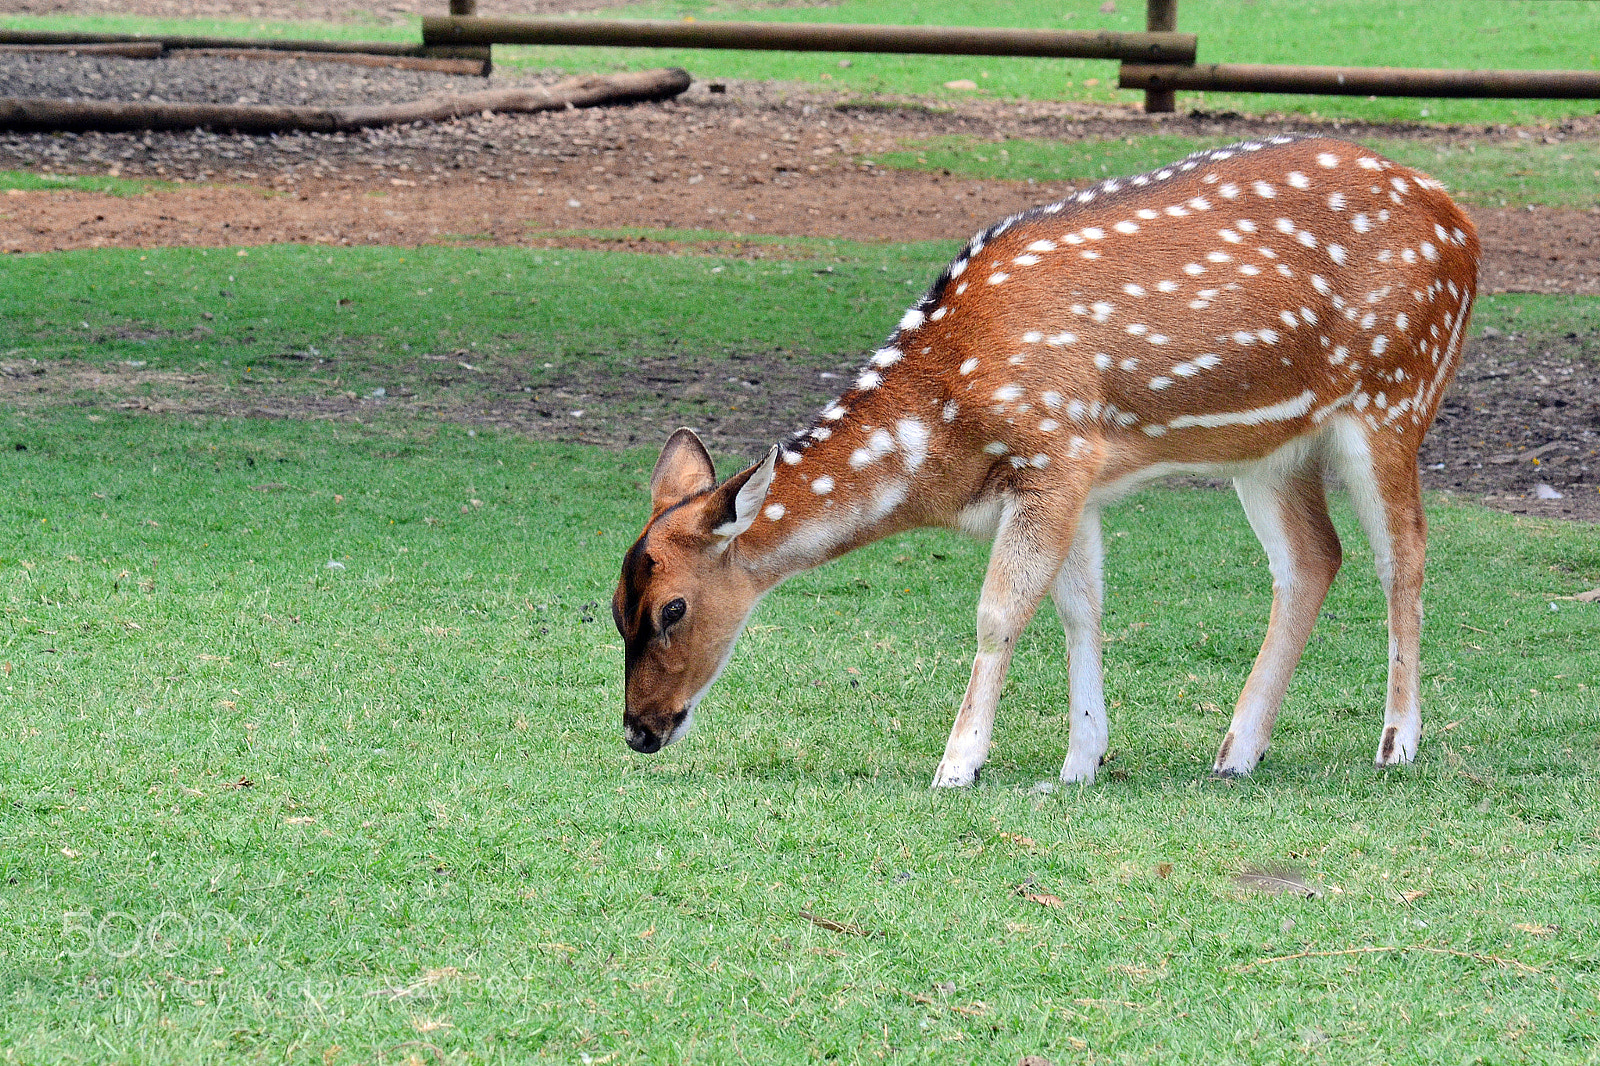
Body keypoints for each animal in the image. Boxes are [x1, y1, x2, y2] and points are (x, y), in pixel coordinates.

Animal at [613, 134, 1479, 788]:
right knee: (1312, 559)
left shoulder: (1056, 447)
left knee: (1404, 554)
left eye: (673, 609)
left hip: (1397, 394)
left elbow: (999, 612)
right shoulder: (1076, 480)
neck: (946, 432)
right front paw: (1081, 760)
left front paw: (958, 764)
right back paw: (1237, 750)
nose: (638, 731)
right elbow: (1080, 608)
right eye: (616, 609)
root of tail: (1461, 219)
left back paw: (1396, 741)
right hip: (1269, 448)